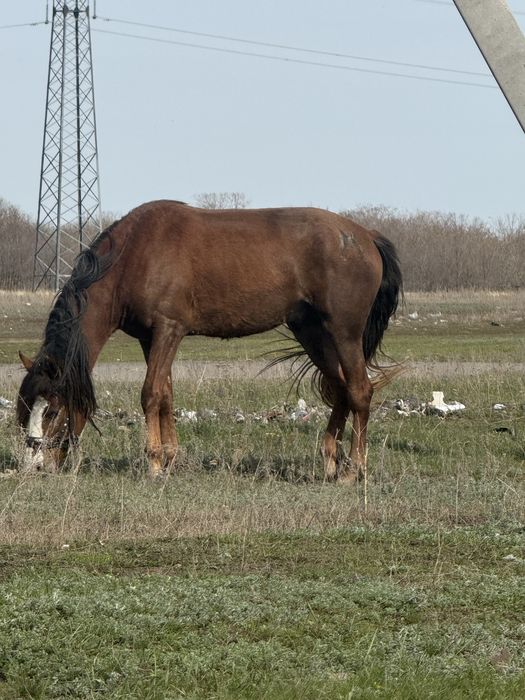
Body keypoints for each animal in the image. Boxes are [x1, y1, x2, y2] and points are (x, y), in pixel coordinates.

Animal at [16, 200, 402, 481]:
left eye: (51, 410)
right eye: (24, 410)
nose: (36, 466)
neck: (133, 255)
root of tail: (365, 235)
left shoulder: (169, 330)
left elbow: (150, 393)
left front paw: (154, 464)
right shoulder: (150, 338)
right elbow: (166, 395)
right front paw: (170, 460)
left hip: (343, 333)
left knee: (359, 391)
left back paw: (354, 471)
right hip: (312, 333)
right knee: (340, 389)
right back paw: (331, 461)